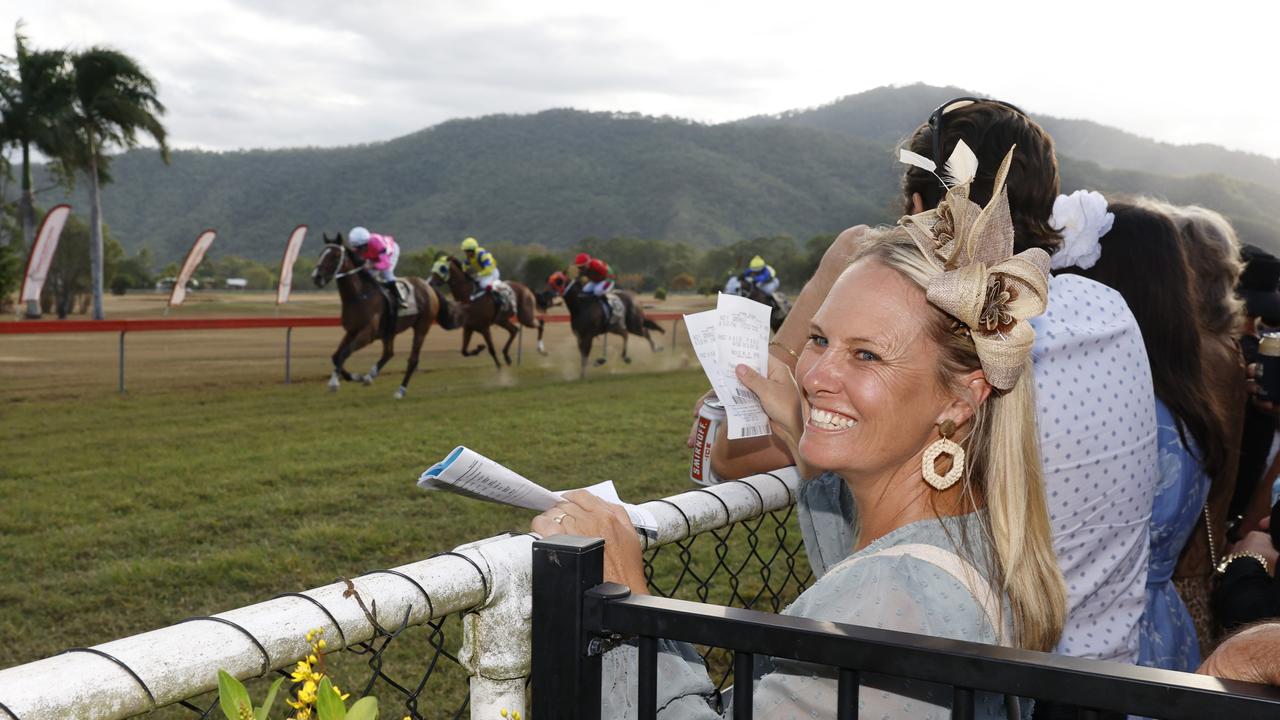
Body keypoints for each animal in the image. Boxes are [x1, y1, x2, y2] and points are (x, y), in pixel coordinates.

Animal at [312, 230, 448, 394]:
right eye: (321, 254)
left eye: (335, 256)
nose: (316, 277)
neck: (359, 296)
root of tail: (428, 287)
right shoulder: (351, 331)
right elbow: (336, 356)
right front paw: (356, 377)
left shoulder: (367, 333)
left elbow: (344, 353)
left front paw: (334, 383)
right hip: (390, 331)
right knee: (388, 353)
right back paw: (370, 376)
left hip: (422, 327)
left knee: (413, 359)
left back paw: (400, 390)